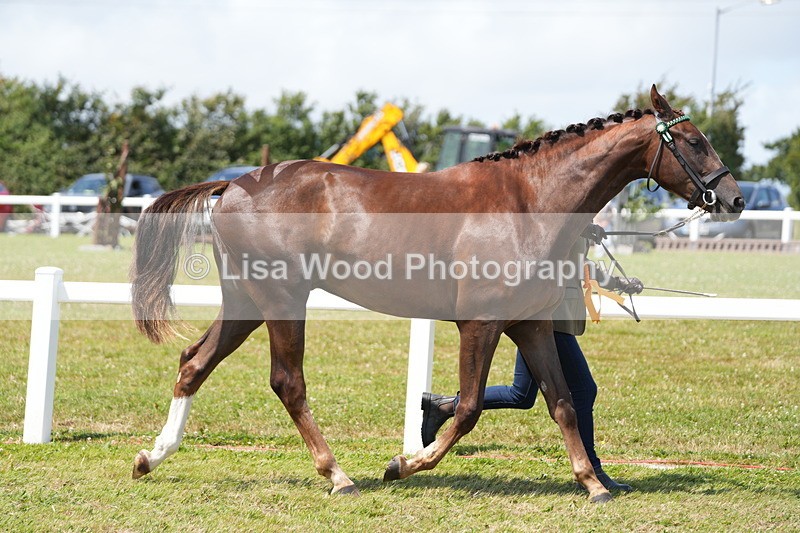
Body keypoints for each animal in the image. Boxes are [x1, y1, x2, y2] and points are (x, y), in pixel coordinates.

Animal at [129, 86, 744, 503]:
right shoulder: (481, 324)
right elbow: (468, 408)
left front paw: (593, 484)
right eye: (694, 141)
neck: (529, 200)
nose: (734, 198)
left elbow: (564, 401)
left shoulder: (531, 326)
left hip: (247, 303)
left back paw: (151, 457)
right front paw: (402, 464)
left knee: (193, 363)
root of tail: (234, 183)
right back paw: (339, 476)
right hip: (281, 302)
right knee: (288, 382)